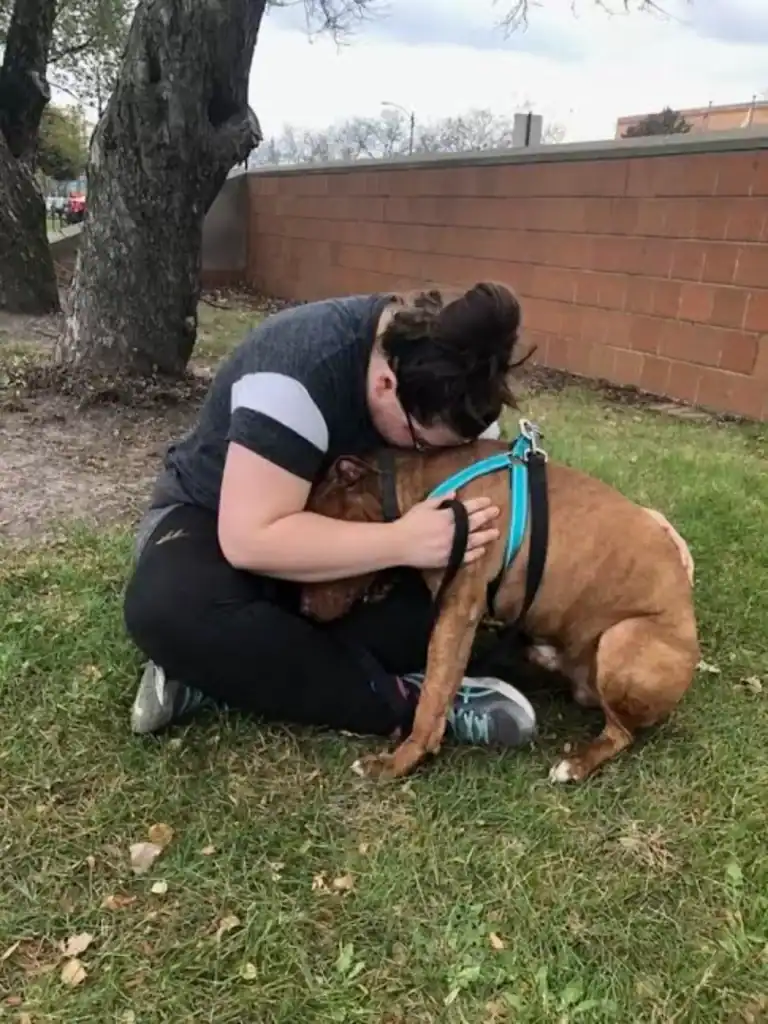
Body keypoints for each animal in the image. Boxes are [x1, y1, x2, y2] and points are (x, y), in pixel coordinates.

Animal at [301, 432, 699, 784]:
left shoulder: (459, 608)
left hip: (622, 638)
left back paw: (575, 764)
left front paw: (400, 760)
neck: (426, 484)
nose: (303, 608)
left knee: (622, 733)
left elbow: (432, 695)